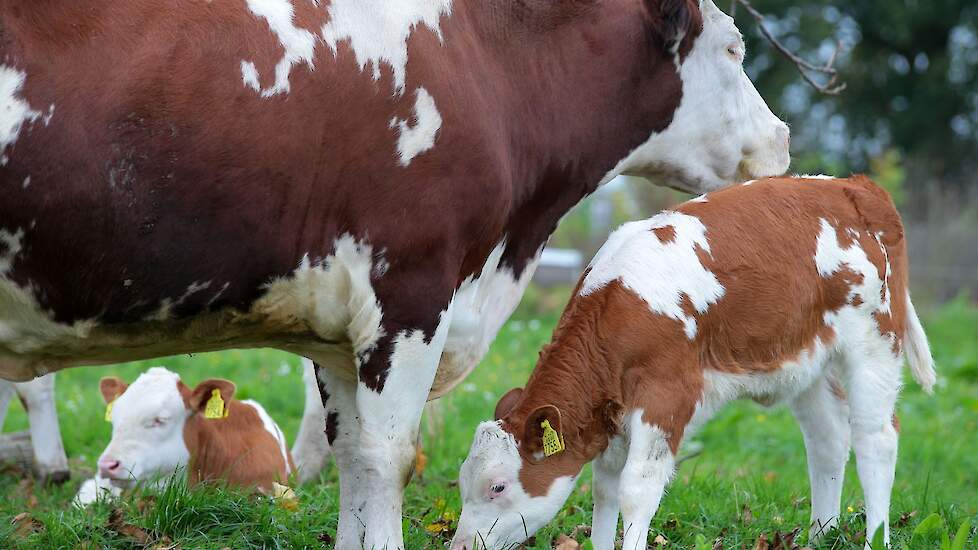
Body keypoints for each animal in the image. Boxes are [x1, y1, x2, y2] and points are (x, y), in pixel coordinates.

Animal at [452, 176, 935, 550]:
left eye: (497, 486)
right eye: (463, 480)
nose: (460, 546)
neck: (620, 304)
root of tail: (854, 186)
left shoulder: (666, 397)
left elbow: (635, 489)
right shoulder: (612, 414)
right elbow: (604, 488)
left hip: (874, 341)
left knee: (875, 440)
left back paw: (874, 536)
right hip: (809, 363)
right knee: (828, 442)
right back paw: (820, 536)